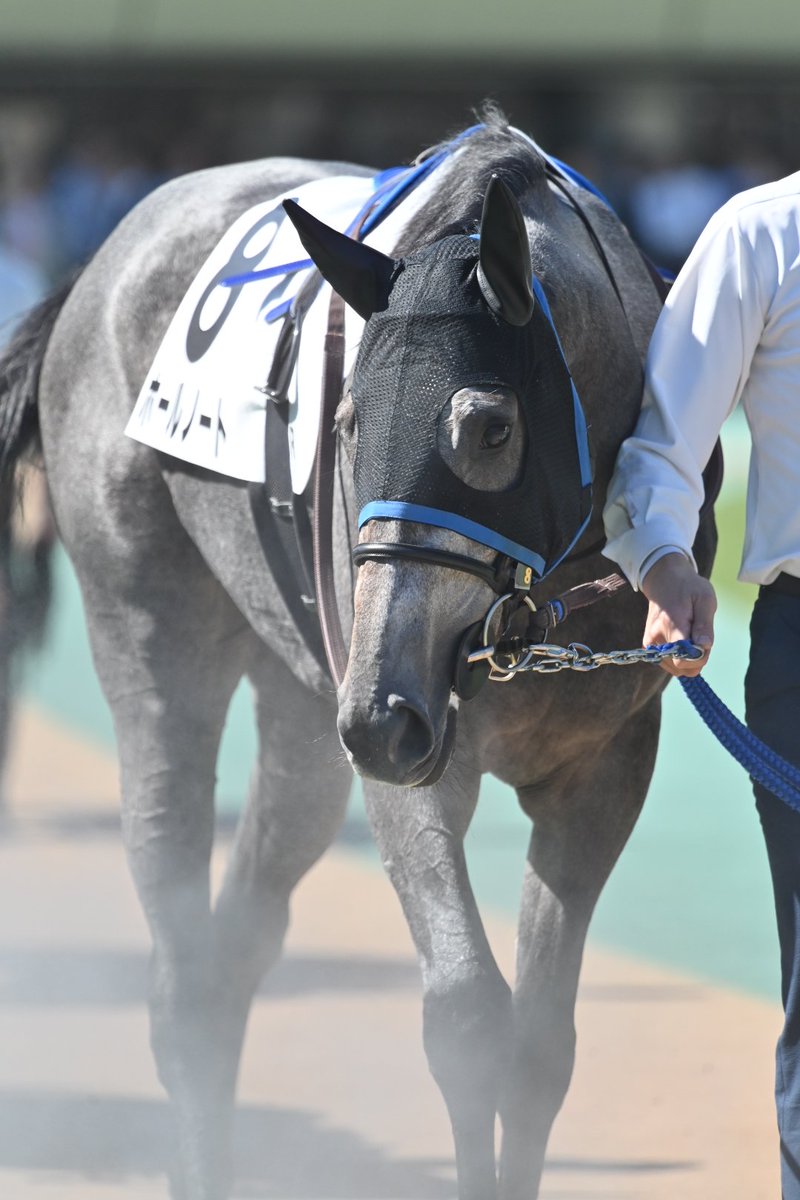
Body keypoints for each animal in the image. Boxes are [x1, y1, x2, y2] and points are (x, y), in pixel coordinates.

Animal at [0, 111, 716, 1200]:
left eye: (488, 427)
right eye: (342, 422)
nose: (383, 715)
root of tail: (99, 264)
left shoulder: (601, 766)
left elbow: (539, 1050)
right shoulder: (412, 745)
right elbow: (465, 1017)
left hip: (309, 703)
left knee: (237, 942)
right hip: (161, 629)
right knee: (179, 951)